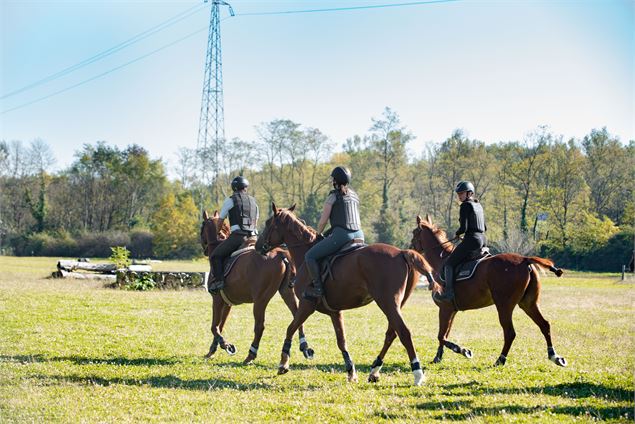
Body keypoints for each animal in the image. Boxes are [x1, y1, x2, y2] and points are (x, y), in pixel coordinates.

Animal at [201, 210, 316, 362]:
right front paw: (213, 349)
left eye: (201, 227)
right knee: (297, 318)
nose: (204, 250)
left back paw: (251, 354)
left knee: (260, 326)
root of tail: (280, 254)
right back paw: (305, 347)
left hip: (261, 300)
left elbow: (214, 327)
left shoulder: (217, 300)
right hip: (286, 292)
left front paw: (226, 345)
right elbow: (220, 326)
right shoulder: (227, 303)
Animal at [256, 204, 434, 386]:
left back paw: (417, 373)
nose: (257, 245)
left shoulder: (307, 306)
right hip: (396, 304)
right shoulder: (335, 312)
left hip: (387, 303)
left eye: (268, 223)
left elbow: (290, 328)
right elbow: (341, 341)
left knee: (403, 332)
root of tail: (401, 252)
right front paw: (350, 371)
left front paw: (283, 362)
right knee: (391, 333)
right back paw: (374, 370)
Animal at [412, 215, 572, 368]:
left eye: (414, 233)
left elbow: (441, 336)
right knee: (544, 325)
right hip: (528, 304)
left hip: (504, 306)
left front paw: (463, 350)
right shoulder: (451, 310)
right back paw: (555, 356)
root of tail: (525, 259)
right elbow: (444, 334)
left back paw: (500, 360)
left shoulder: (445, 309)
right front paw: (438, 357)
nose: (411, 248)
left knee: (510, 333)